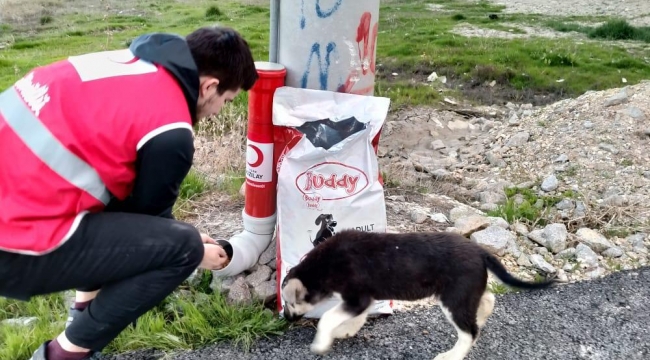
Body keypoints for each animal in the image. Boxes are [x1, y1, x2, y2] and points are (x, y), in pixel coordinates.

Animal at [280, 229, 556, 358]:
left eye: (288, 303)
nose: (284, 318)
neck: (324, 264)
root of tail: (480, 251)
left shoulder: (357, 296)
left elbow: (327, 318)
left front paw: (321, 343)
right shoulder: (363, 298)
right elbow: (353, 318)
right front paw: (344, 331)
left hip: (454, 299)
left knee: (469, 332)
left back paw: (452, 356)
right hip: (466, 293)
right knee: (488, 300)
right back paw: (482, 319)